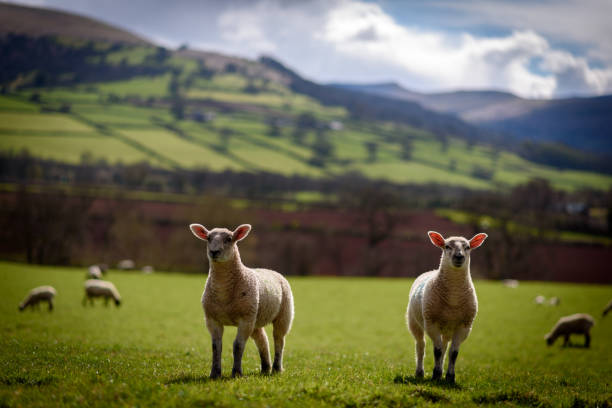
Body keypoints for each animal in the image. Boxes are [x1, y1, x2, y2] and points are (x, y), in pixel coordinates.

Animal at [189, 223, 294, 380]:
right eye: (208, 238)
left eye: (229, 239)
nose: (214, 252)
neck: (224, 292)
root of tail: (271, 270)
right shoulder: (212, 319)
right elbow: (216, 347)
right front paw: (215, 374)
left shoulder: (245, 319)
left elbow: (238, 345)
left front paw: (237, 373)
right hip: (255, 317)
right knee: (262, 340)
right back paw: (265, 368)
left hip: (283, 314)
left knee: (279, 340)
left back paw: (276, 368)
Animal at [406, 233, 488, 382]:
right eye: (447, 246)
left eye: (468, 247)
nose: (459, 256)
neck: (453, 299)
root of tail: (431, 271)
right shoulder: (431, 323)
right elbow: (437, 351)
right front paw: (436, 374)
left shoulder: (465, 326)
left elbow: (453, 352)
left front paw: (450, 376)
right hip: (414, 322)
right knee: (421, 346)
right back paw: (420, 372)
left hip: (447, 329)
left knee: (444, 347)